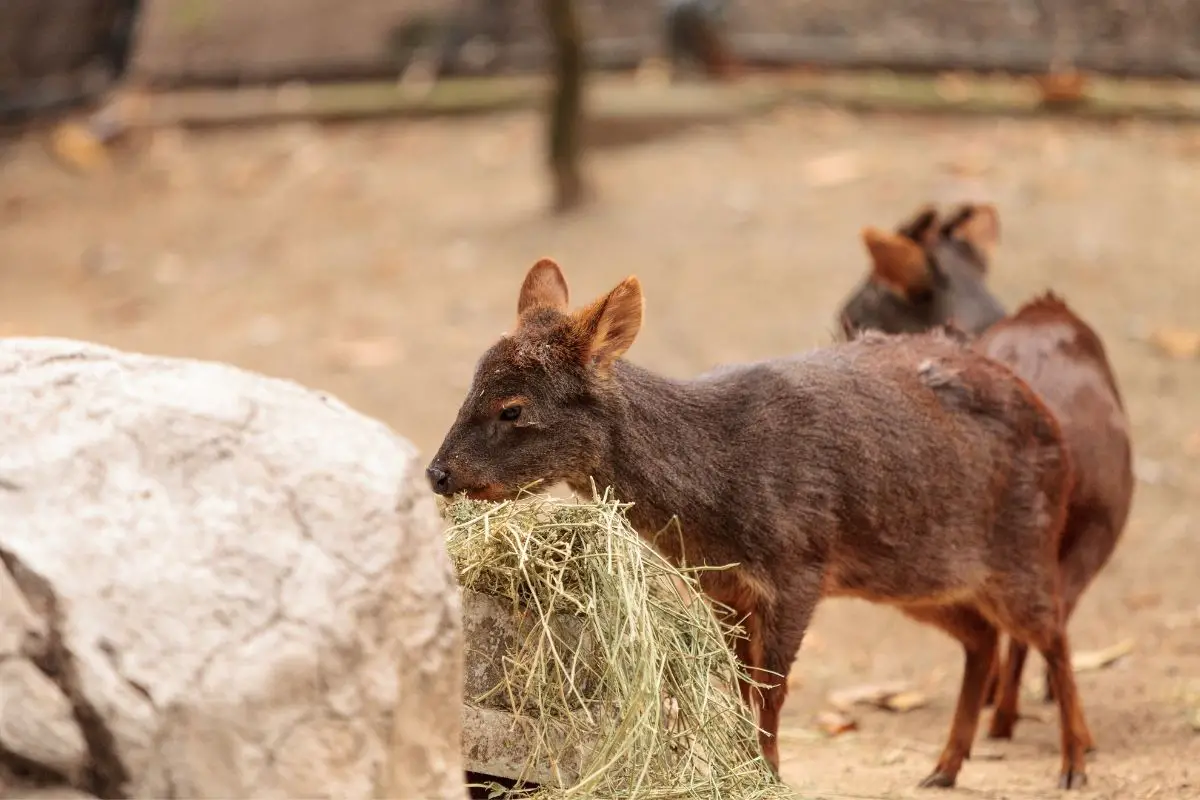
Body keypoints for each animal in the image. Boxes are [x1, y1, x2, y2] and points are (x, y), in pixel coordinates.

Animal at [427, 257, 1094, 786]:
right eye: (470, 388)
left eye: (512, 409)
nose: (437, 473)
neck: (716, 499)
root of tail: (1051, 423)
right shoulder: (723, 588)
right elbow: (741, 688)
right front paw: (750, 767)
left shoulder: (799, 566)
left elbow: (772, 691)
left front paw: (768, 774)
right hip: (918, 577)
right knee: (981, 637)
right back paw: (944, 768)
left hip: (1021, 547)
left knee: (1055, 632)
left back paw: (1074, 763)